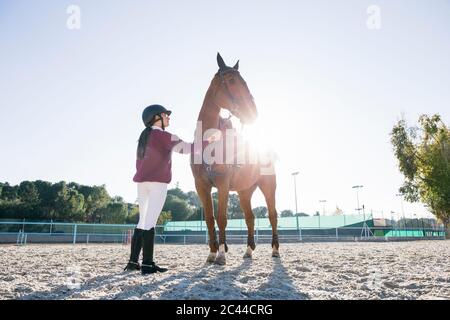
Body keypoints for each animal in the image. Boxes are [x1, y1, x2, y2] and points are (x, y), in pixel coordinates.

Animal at [191, 54, 282, 264]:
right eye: (231, 80)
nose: (253, 112)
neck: (208, 142)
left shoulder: (222, 183)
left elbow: (222, 218)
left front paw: (221, 255)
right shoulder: (201, 185)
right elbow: (209, 218)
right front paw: (212, 253)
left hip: (268, 185)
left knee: (272, 215)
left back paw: (275, 250)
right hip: (244, 192)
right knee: (250, 217)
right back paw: (248, 251)